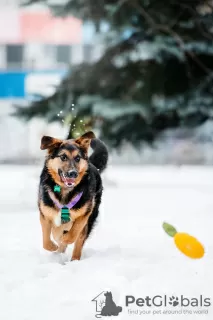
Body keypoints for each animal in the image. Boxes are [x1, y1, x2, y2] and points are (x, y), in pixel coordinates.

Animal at [37, 132, 108, 260]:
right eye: (63, 157)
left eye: (77, 158)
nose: (73, 173)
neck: (65, 192)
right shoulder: (45, 214)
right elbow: (46, 240)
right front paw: (53, 246)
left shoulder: (84, 215)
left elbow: (73, 234)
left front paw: (64, 239)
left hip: (90, 219)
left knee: (78, 242)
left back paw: (74, 259)